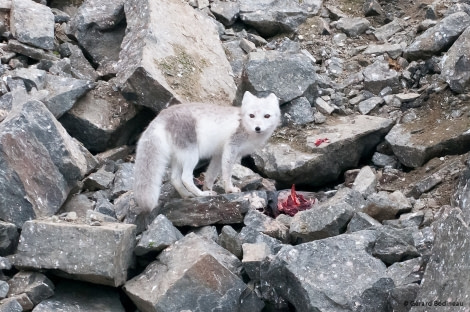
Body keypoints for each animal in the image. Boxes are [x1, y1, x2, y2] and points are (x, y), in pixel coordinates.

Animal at [133, 90, 280, 212]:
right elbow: (227, 173)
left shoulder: (218, 154)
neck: (244, 126)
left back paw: (188, 195)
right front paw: (229, 189)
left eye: (267, 116)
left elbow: (211, 175)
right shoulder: (231, 147)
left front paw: (208, 189)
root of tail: (161, 116)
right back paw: (201, 194)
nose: (257, 128)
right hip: (192, 155)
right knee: (185, 178)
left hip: (178, 158)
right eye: (252, 115)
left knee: (174, 178)